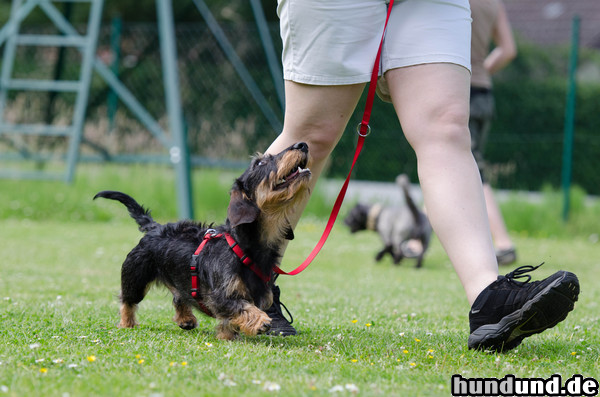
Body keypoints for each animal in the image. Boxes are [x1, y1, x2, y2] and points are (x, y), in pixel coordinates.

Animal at [95, 141, 310, 338]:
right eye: (260, 163)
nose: (302, 144)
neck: (243, 246)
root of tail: (155, 227)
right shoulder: (220, 297)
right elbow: (241, 307)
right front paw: (260, 321)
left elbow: (231, 319)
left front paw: (228, 335)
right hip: (135, 277)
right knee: (127, 301)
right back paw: (127, 323)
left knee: (178, 296)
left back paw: (186, 319)